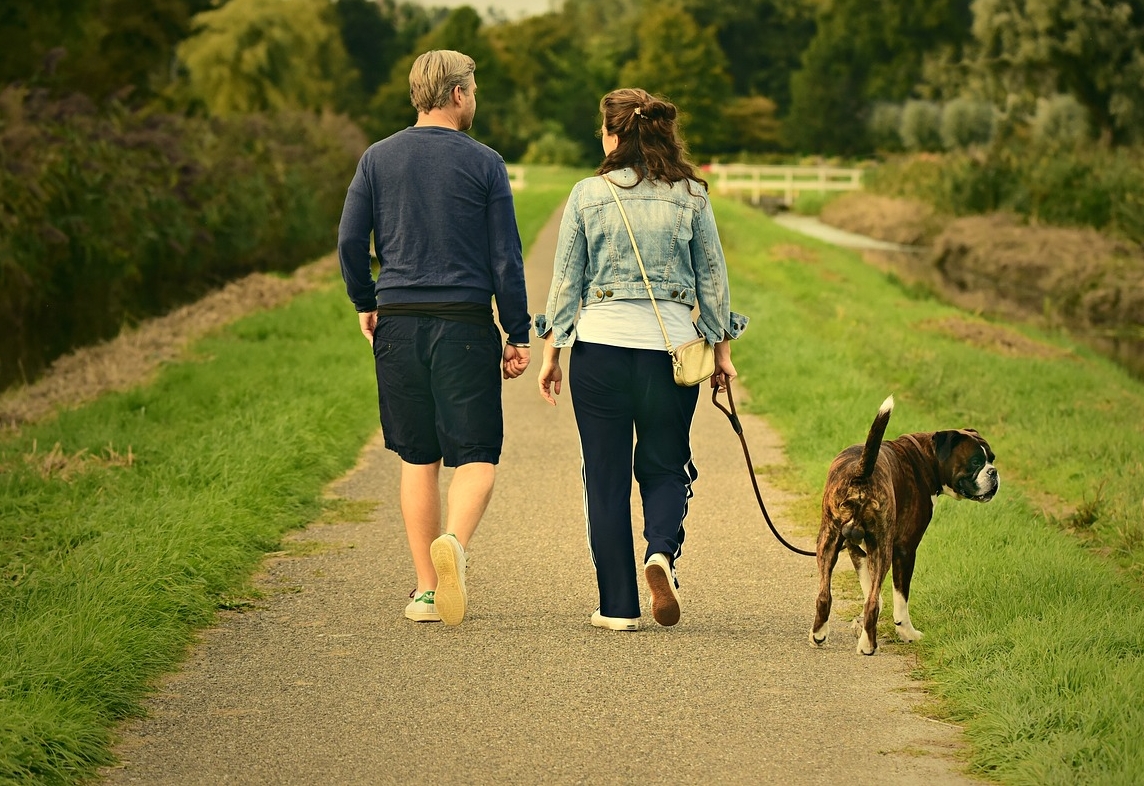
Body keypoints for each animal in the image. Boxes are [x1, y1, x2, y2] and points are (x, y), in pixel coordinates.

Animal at [809, 395, 997, 654]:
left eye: (992, 459)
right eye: (976, 462)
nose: (994, 472)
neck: (926, 458)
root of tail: (861, 473)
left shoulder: (855, 548)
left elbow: (872, 592)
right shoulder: (905, 549)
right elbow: (899, 599)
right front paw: (907, 632)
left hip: (828, 541)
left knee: (825, 595)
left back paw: (819, 634)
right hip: (883, 548)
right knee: (870, 602)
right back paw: (869, 646)